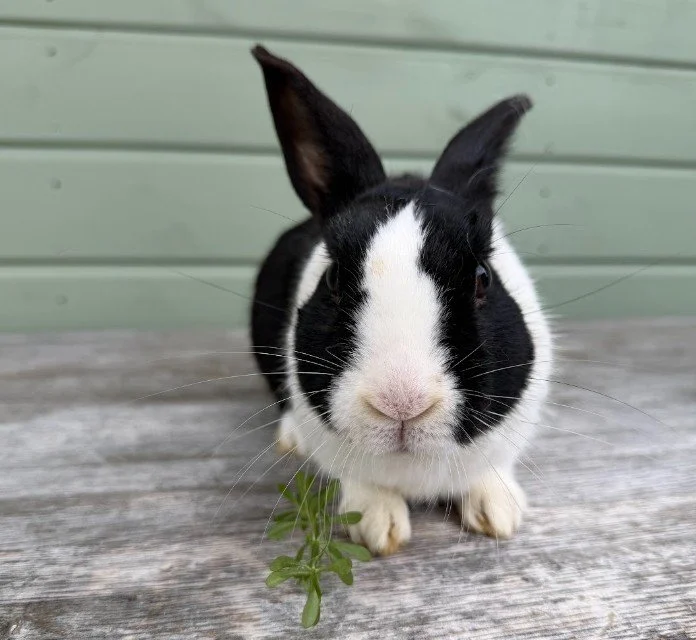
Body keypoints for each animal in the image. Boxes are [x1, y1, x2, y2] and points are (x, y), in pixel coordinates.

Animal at [250, 45, 553, 555]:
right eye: (333, 278)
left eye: (482, 278)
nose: (401, 403)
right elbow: (364, 487)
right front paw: (379, 526)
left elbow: (491, 472)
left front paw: (500, 514)